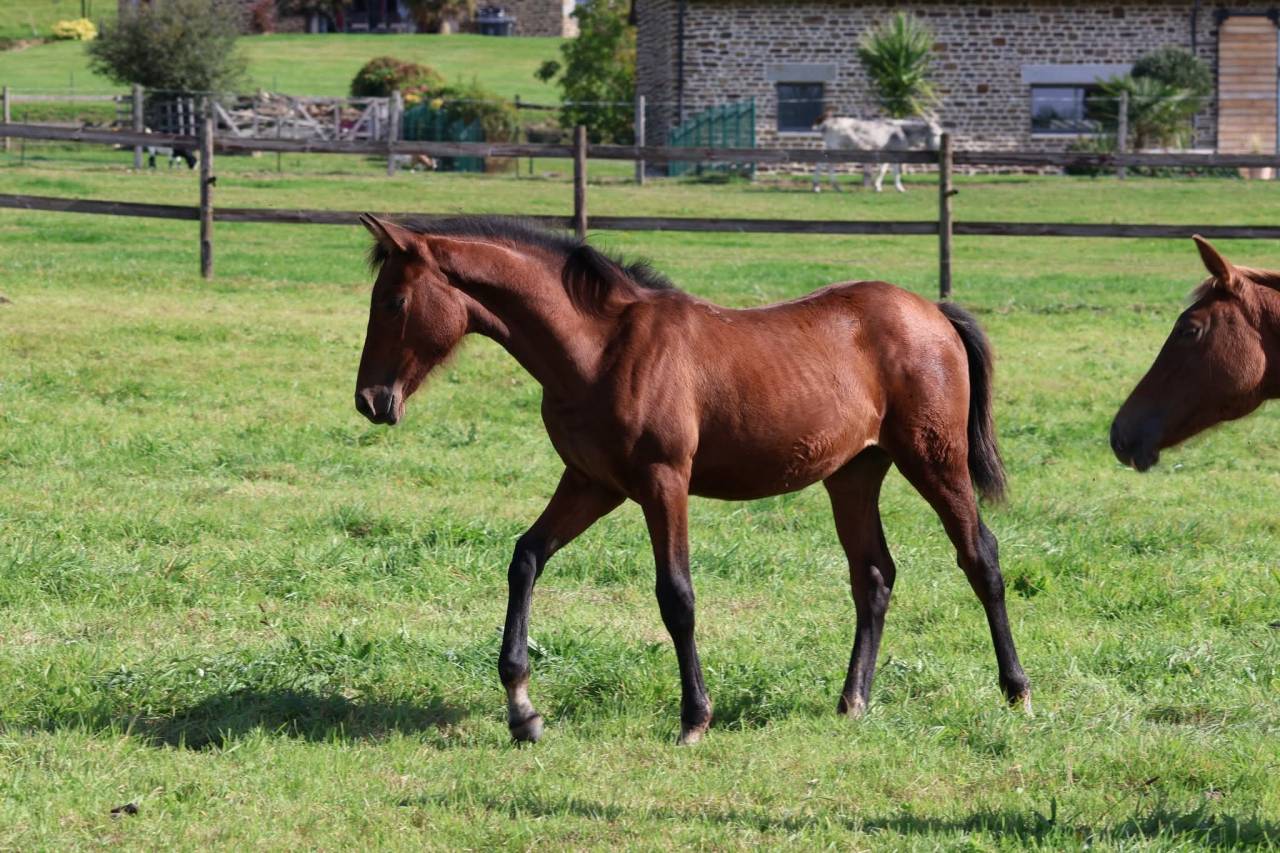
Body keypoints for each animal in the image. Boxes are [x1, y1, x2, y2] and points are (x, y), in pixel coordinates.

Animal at [353, 215, 1031, 744]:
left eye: (393, 303)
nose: (371, 401)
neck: (601, 349)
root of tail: (933, 312)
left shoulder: (663, 482)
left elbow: (676, 596)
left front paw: (694, 718)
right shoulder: (592, 482)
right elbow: (526, 558)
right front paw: (523, 712)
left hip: (935, 460)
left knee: (981, 557)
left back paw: (1017, 692)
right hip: (853, 474)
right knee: (873, 575)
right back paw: (853, 703)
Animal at [812, 112, 943, 194]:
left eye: (942, 133)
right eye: (935, 134)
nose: (939, 149)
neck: (903, 132)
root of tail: (827, 123)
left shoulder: (886, 152)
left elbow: (883, 169)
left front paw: (878, 186)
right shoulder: (894, 154)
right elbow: (894, 171)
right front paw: (899, 188)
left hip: (830, 147)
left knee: (820, 163)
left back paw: (820, 187)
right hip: (835, 148)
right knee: (828, 164)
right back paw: (828, 186)